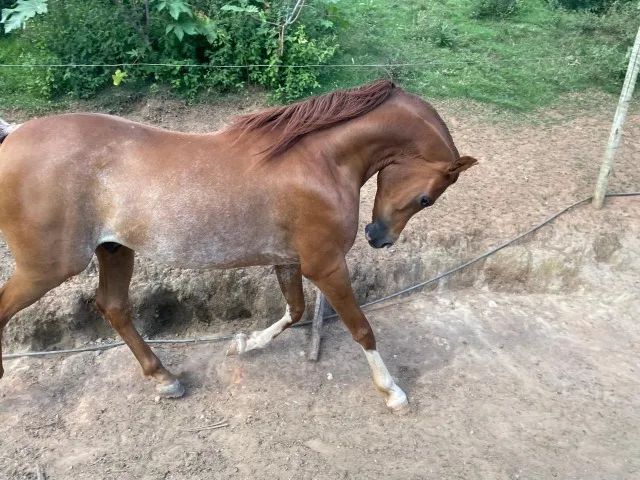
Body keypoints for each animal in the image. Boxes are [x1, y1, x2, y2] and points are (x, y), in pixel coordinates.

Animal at [0, 80, 477, 411]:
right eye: (426, 198)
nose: (379, 238)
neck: (319, 161)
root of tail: (13, 137)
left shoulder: (291, 261)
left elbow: (295, 310)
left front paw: (243, 344)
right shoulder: (326, 265)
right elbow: (361, 328)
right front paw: (392, 392)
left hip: (115, 250)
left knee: (114, 307)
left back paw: (165, 378)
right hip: (47, 268)